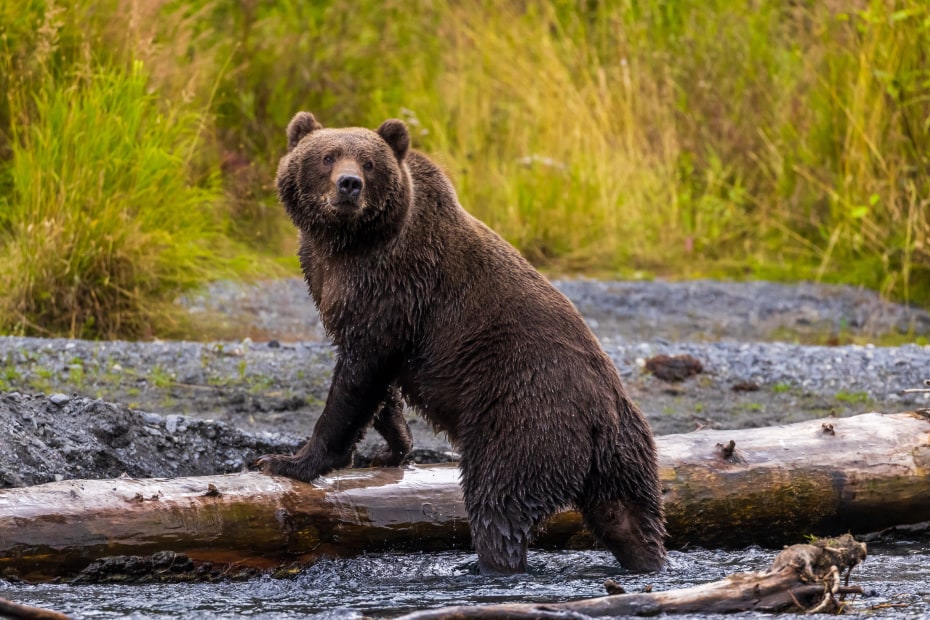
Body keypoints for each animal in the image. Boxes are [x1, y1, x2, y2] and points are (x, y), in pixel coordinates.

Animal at [258, 111, 664, 576]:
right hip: (626, 456)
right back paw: (647, 557)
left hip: (523, 418)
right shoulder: (337, 282)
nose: (349, 184)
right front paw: (392, 446)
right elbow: (377, 383)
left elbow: (356, 380)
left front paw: (288, 461)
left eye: (368, 163)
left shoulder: (393, 288)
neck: (348, 243)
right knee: (629, 516)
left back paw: (486, 563)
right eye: (327, 156)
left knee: (498, 499)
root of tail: (601, 421)